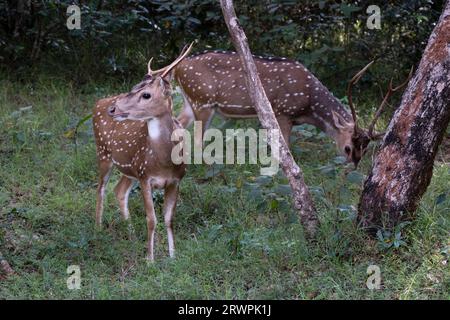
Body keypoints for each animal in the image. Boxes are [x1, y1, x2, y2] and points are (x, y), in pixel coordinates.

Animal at [94, 43, 192, 262]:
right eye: (132, 88)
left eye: (146, 94)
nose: (113, 109)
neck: (164, 162)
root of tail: (98, 102)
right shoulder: (145, 176)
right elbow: (151, 219)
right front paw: (150, 260)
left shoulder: (175, 180)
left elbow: (169, 219)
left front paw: (173, 257)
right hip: (103, 154)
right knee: (101, 189)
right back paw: (98, 228)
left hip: (129, 170)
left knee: (119, 191)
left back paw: (130, 234)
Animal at [149, 50, 412, 168]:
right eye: (348, 147)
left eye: (365, 149)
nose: (353, 167)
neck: (308, 103)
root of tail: (177, 67)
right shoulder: (282, 111)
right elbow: (285, 148)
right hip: (202, 100)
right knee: (196, 138)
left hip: (190, 101)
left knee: (178, 125)